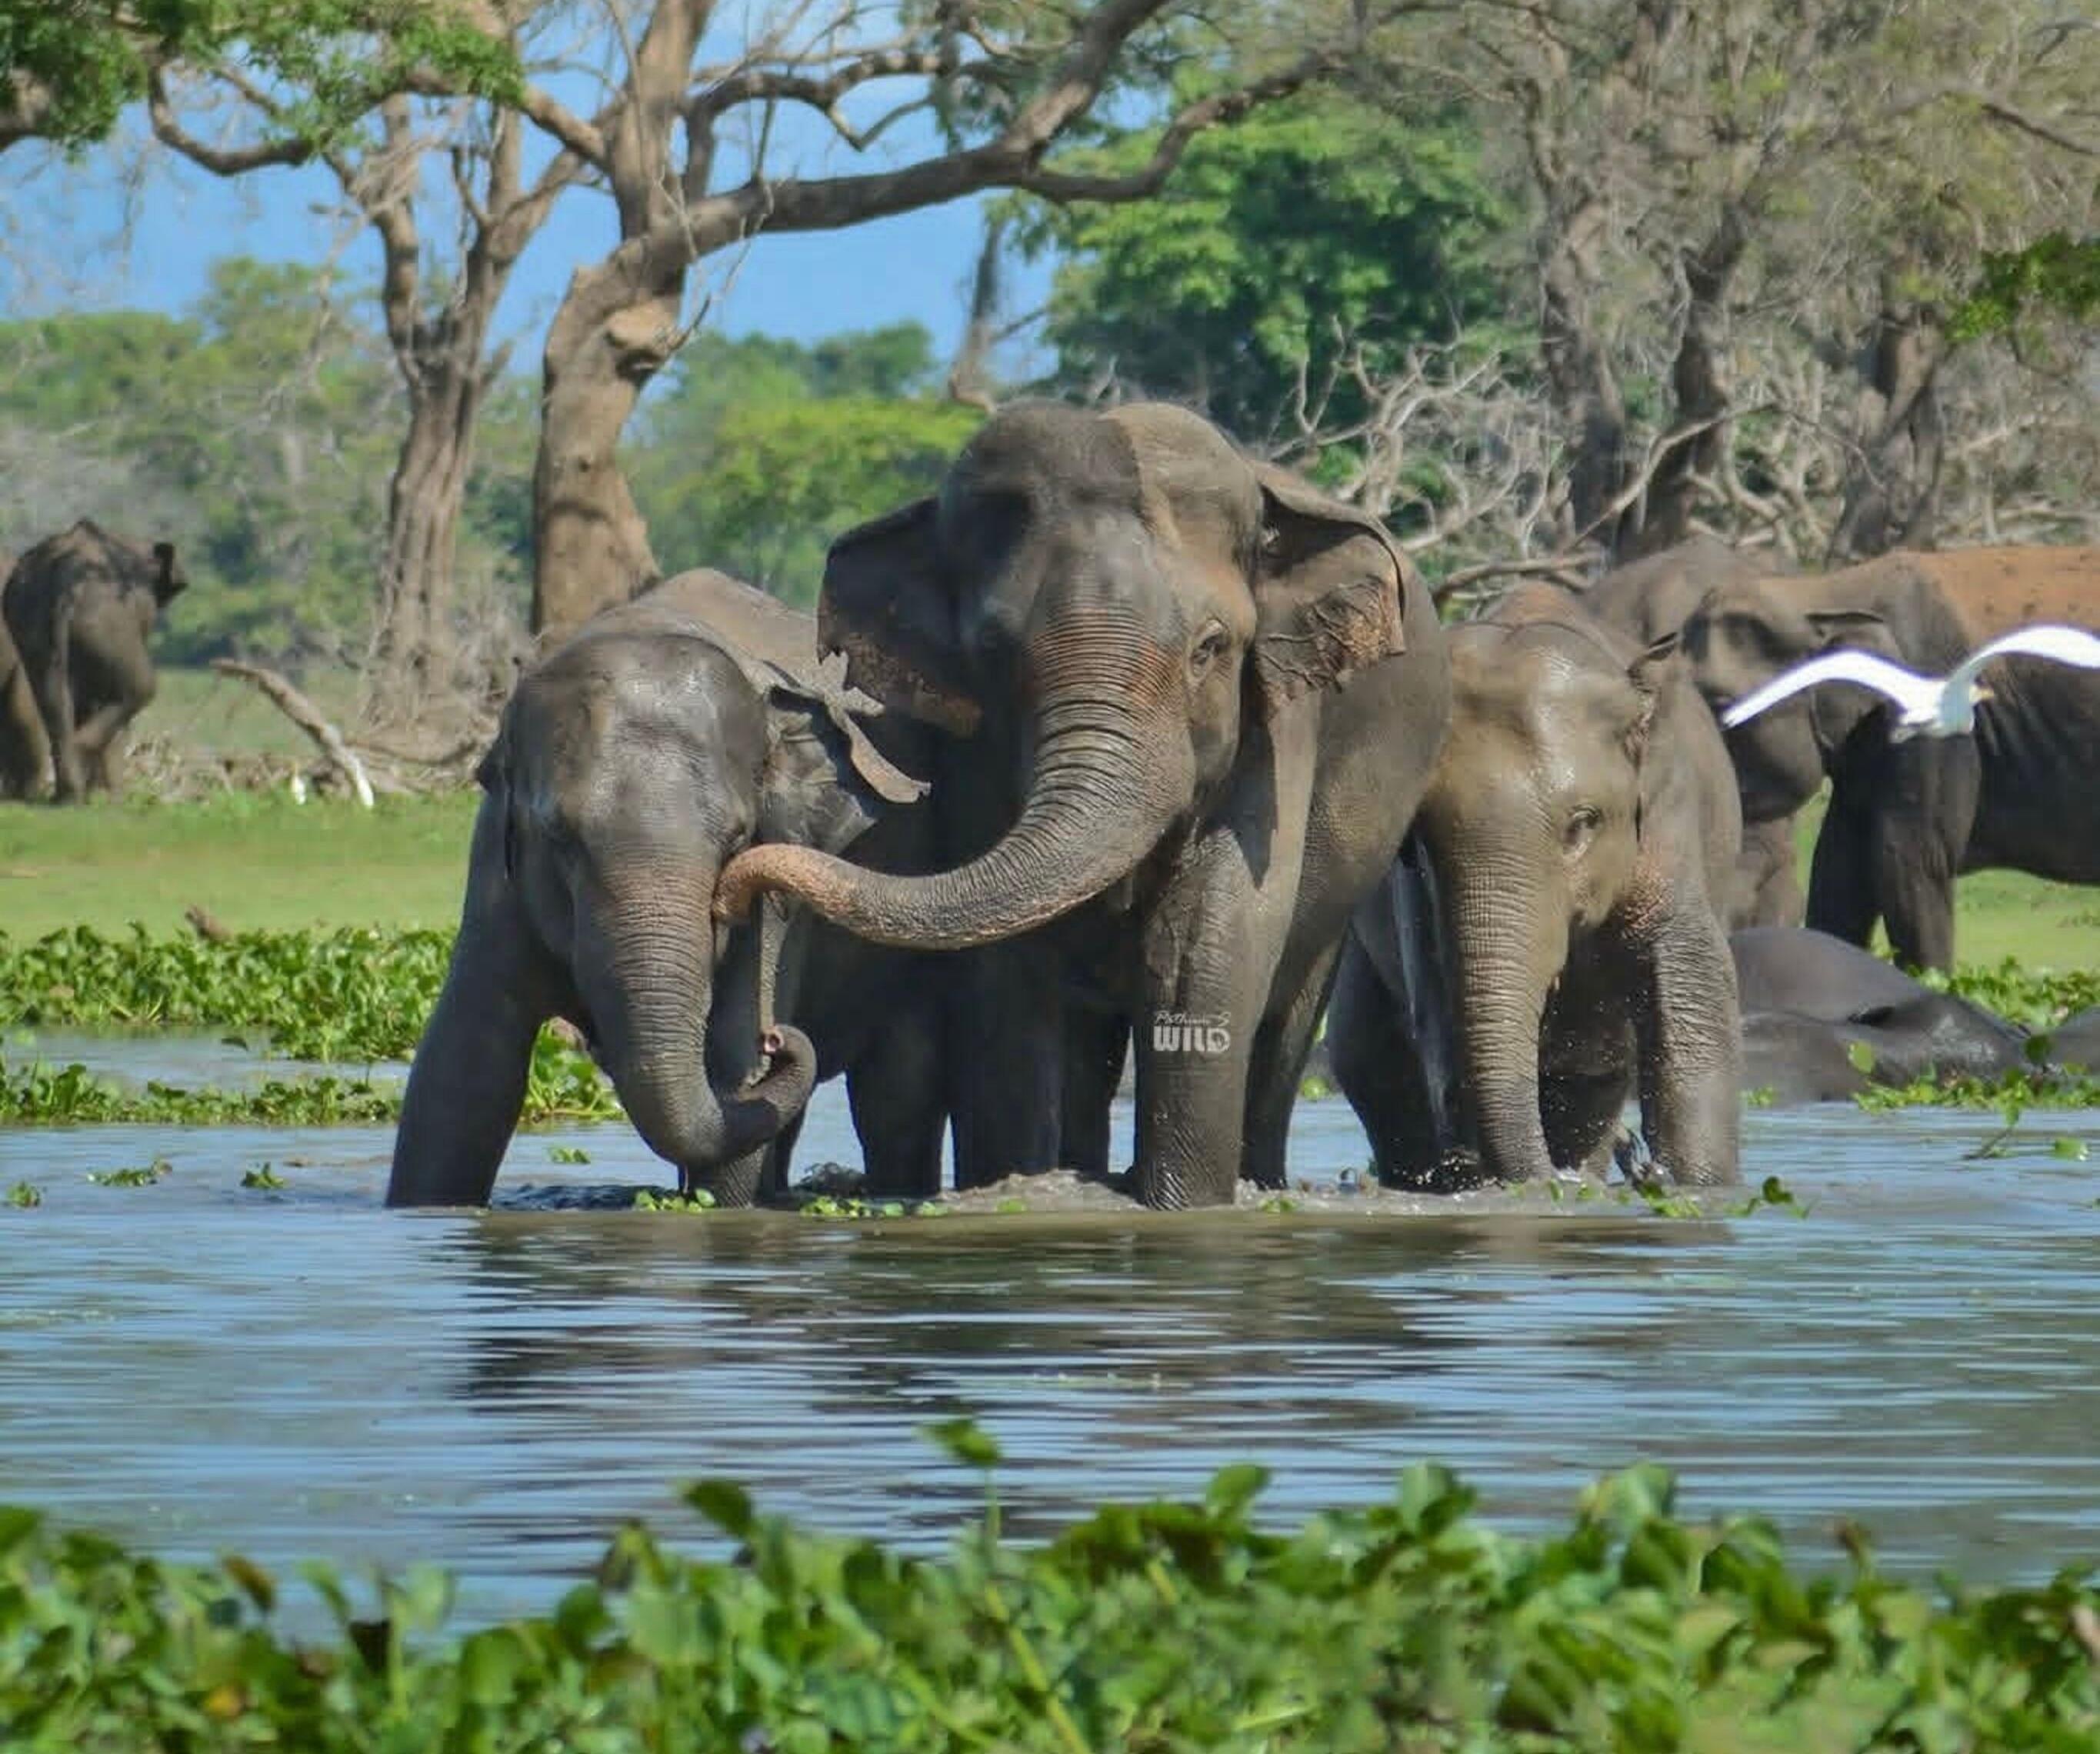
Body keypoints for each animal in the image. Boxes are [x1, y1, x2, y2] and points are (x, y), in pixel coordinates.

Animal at [1, 520, 187, 802]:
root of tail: (64, 581)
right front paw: (114, 800)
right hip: (105, 622)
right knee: (142, 686)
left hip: (31, 624)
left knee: (50, 695)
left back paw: (67, 796)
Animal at [386, 568, 947, 1210]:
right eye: (557, 835)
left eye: (738, 838)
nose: (779, 1040)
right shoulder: (496, 874)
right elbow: (465, 1068)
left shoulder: (784, 886)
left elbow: (732, 1059)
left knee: (897, 1096)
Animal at [713, 399, 1450, 1210]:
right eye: (994, 653)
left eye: (1210, 650)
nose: (729, 889)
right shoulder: (969, 750)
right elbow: (1004, 969)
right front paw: (1020, 1186)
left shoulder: (1279, 726)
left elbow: (1209, 936)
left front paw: (1181, 1207)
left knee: (1286, 1020)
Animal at [1330, 585, 1743, 1189]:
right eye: (1416, 839)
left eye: (1583, 823)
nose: (1637, 1156)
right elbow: (1436, 1012)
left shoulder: (1670, 821)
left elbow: (1691, 988)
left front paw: (1692, 1185)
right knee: (1368, 1059)